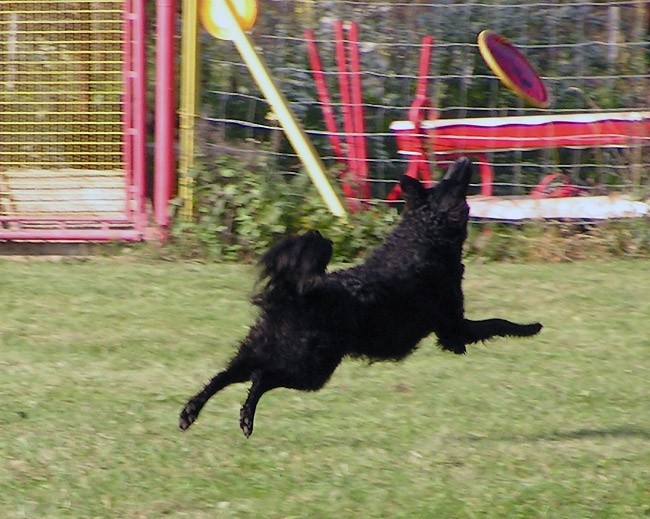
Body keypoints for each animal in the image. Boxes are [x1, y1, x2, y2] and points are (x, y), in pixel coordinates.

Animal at [180, 158, 540, 438]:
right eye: (449, 183)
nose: (464, 159)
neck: (423, 240)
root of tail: (295, 294)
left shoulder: (450, 330)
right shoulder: (453, 327)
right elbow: (497, 322)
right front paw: (531, 327)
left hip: (262, 348)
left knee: (225, 376)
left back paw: (190, 413)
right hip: (311, 367)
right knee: (260, 378)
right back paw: (245, 418)